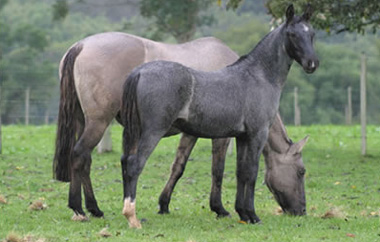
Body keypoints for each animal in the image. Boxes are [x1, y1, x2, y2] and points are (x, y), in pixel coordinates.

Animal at [121, 3, 318, 228]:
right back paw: (132, 217)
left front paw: (243, 213)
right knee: (134, 164)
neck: (259, 76)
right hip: (152, 132)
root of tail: (139, 72)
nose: (312, 63)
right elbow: (251, 172)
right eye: (301, 171)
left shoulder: (242, 137)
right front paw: (253, 215)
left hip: (133, 133)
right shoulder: (257, 134)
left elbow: (241, 172)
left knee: (124, 162)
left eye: (312, 33)